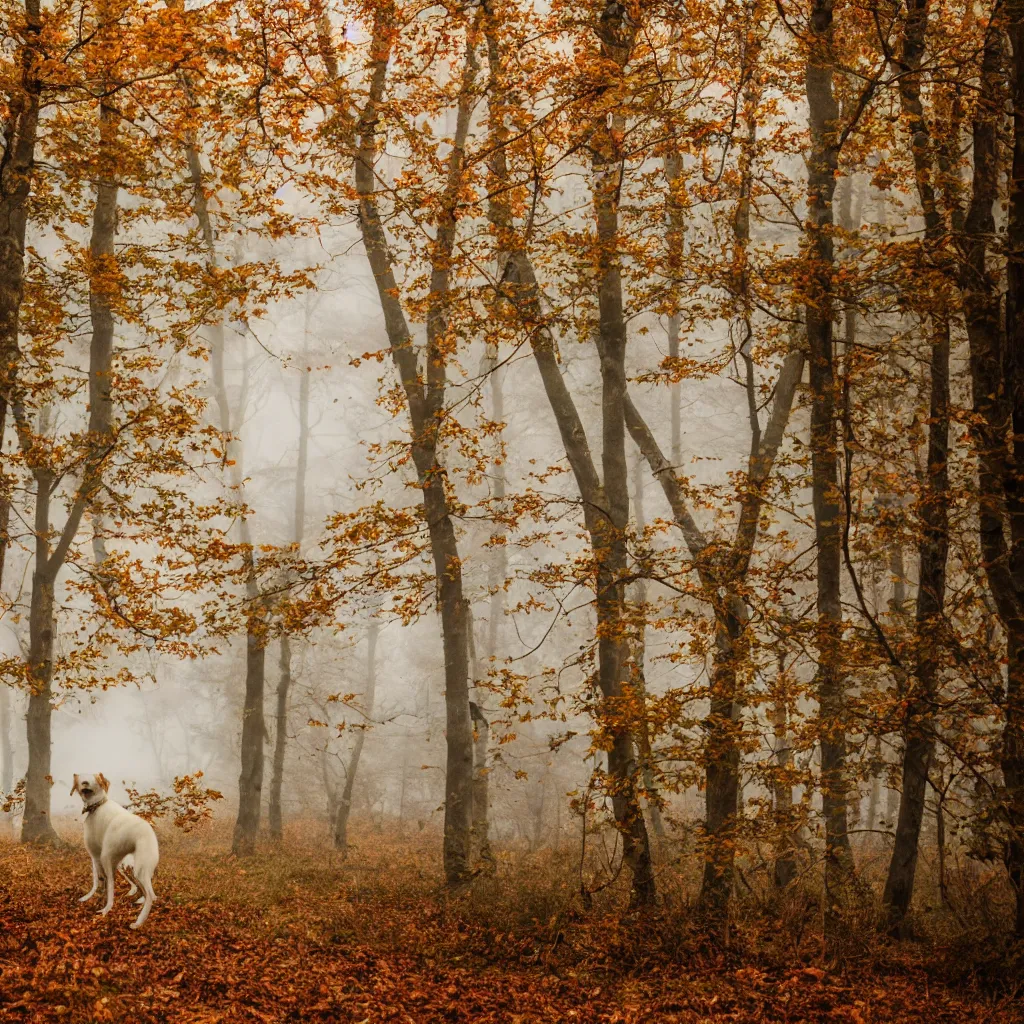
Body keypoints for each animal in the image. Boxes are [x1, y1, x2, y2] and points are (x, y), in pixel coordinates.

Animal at [73, 774, 159, 929]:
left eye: (95, 778)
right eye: (81, 777)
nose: (84, 783)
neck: (98, 807)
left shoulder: (105, 857)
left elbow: (109, 886)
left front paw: (106, 909)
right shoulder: (96, 856)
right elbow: (97, 881)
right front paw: (89, 897)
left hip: (138, 869)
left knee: (149, 894)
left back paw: (139, 922)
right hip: (129, 868)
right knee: (147, 891)